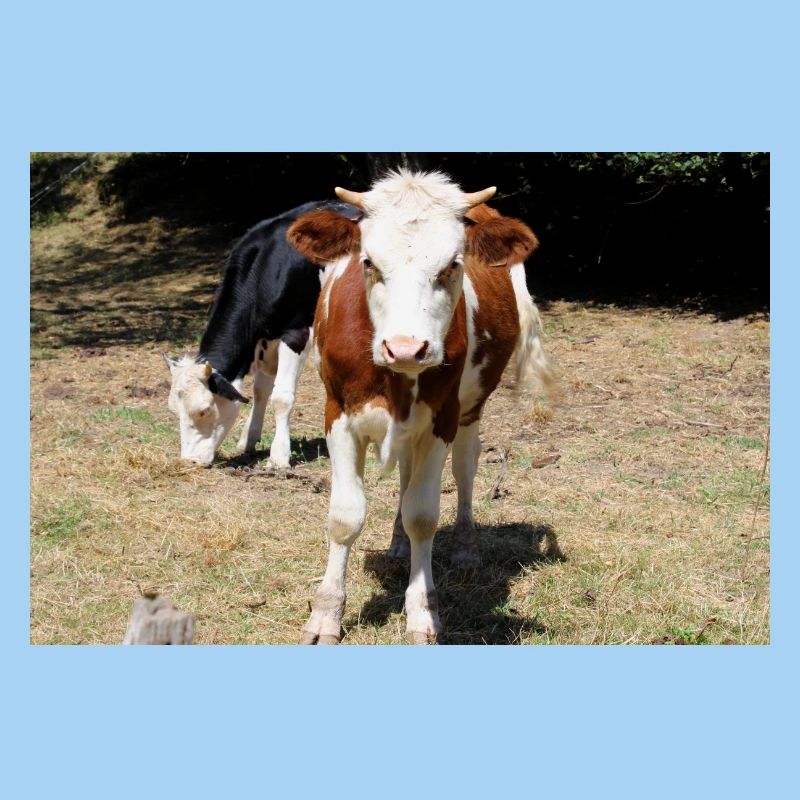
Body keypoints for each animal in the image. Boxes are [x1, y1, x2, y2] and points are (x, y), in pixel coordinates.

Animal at [164, 200, 358, 467]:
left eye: (203, 410)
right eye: (174, 409)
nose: (189, 461)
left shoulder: (296, 333)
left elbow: (281, 396)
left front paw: (279, 456)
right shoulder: (265, 340)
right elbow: (260, 390)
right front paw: (248, 438)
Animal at [287, 170, 553, 644]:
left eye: (453, 264)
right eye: (368, 262)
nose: (406, 349)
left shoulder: (441, 420)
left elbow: (424, 516)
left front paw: (422, 612)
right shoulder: (337, 414)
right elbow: (345, 517)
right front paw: (325, 615)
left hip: (469, 410)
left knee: (465, 469)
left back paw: (465, 549)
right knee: (406, 476)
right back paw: (396, 545)